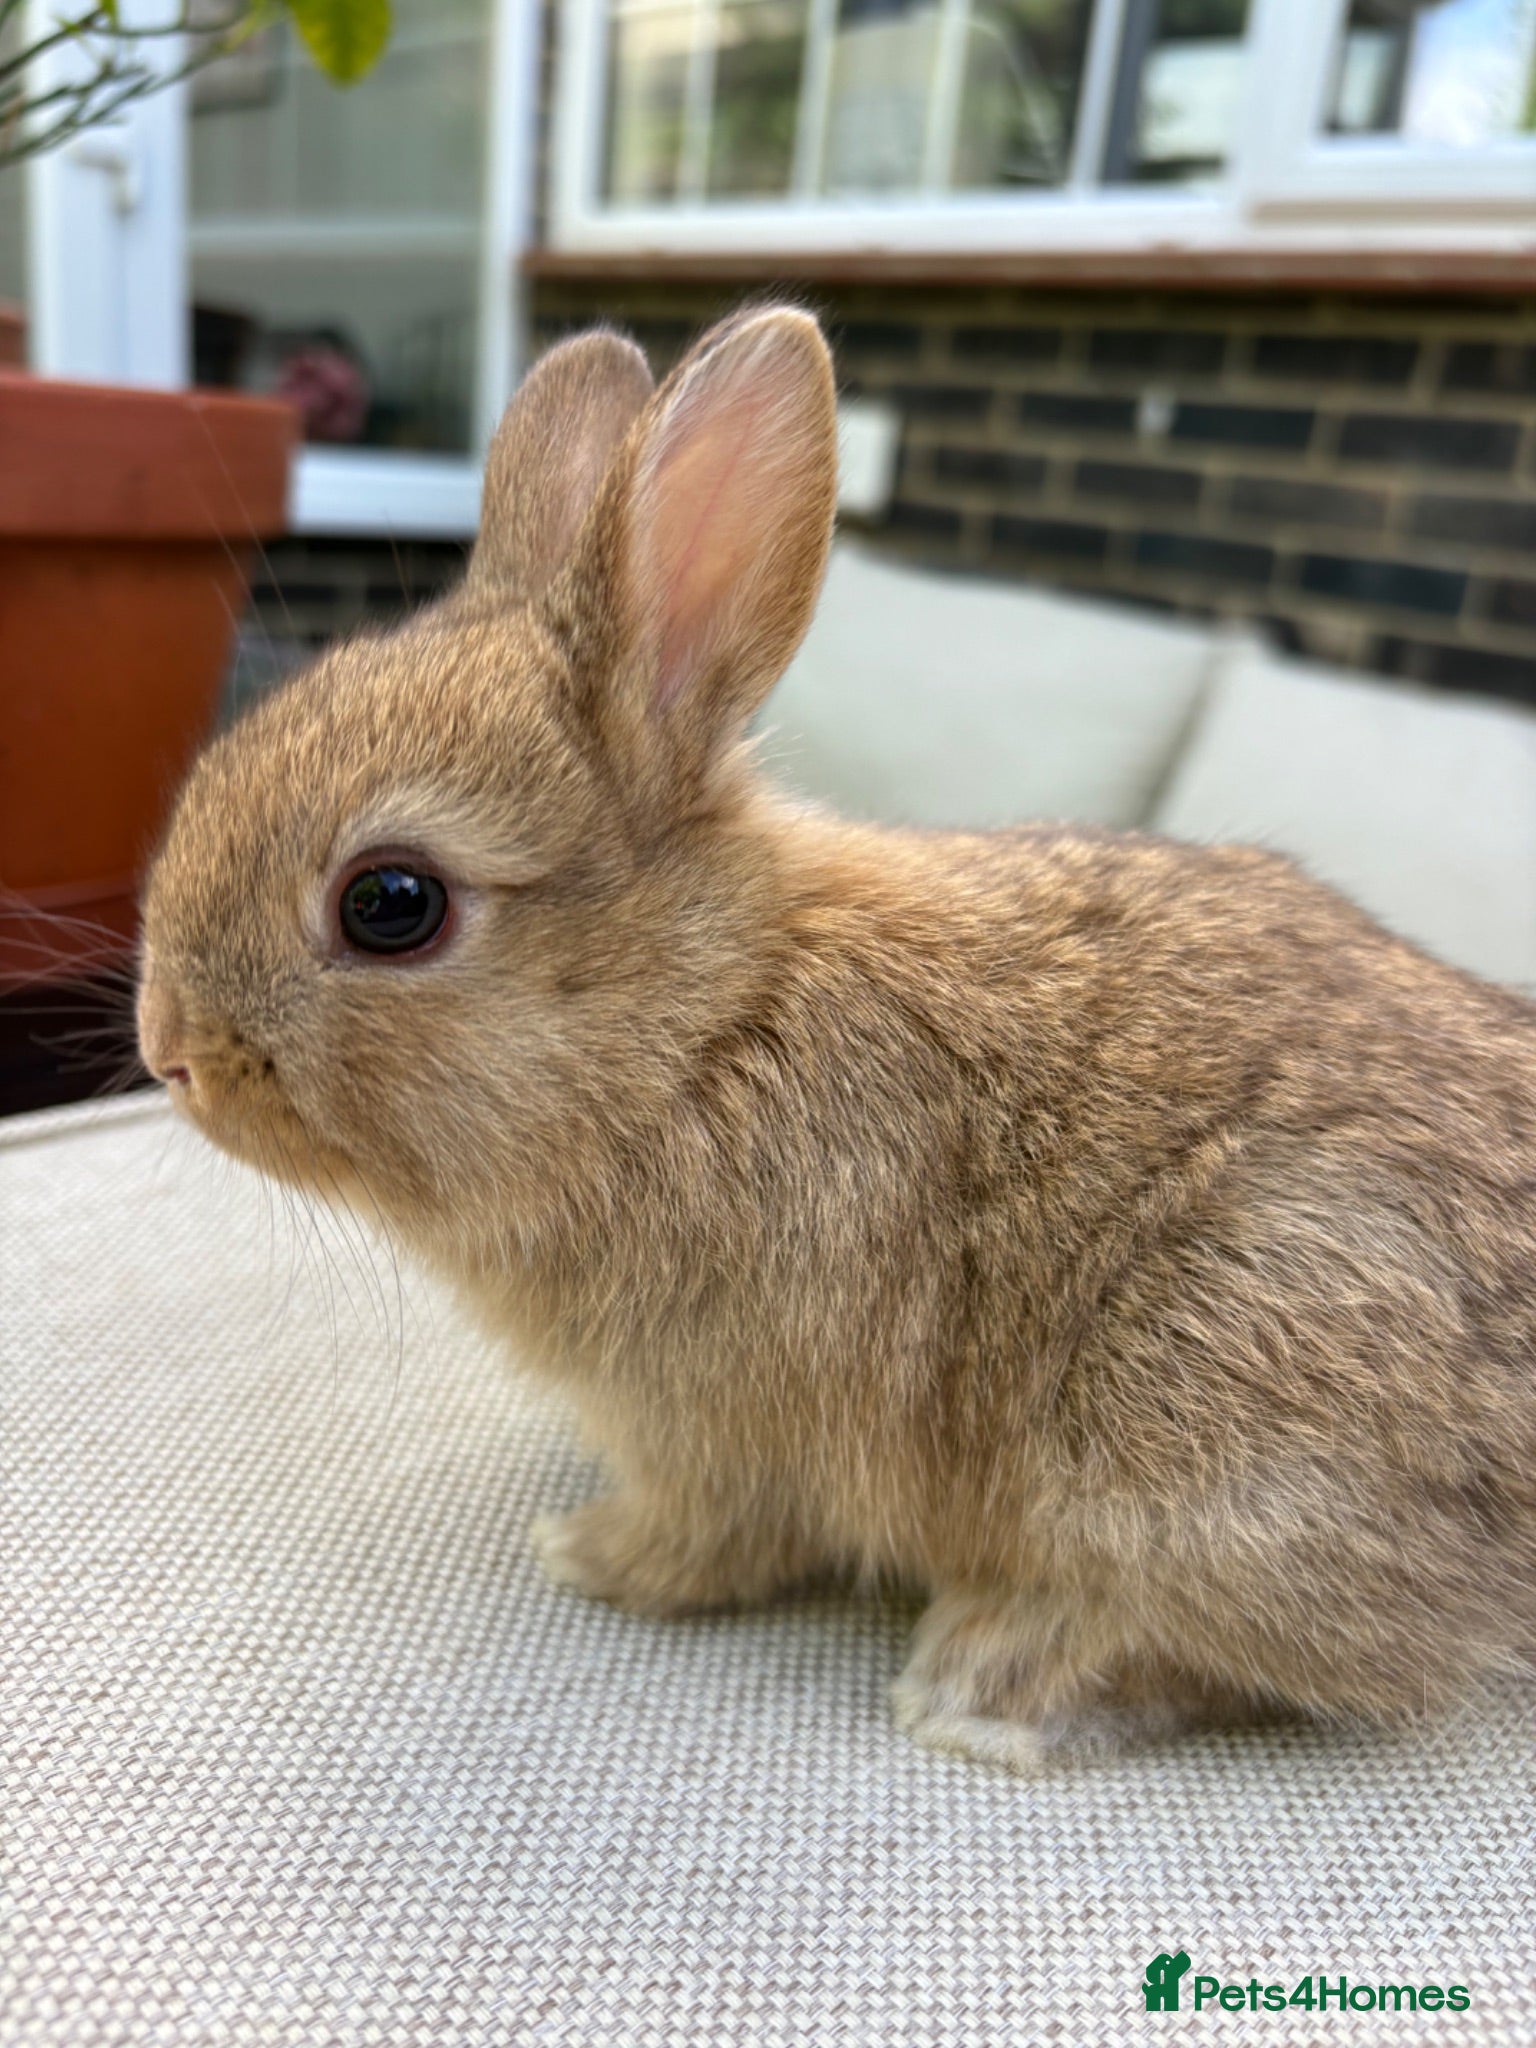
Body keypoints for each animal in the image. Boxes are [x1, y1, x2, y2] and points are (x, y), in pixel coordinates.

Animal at [137, 306, 1536, 1774]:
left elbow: (710, 1537)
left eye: (391, 903)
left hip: (1221, 1403)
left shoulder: (717, 1423)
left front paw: (588, 1555)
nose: (169, 1048)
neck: (700, 1033)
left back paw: (980, 1685)